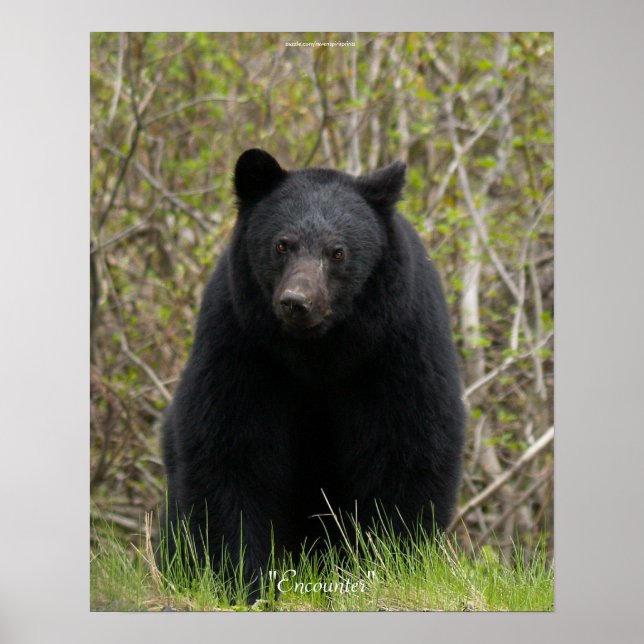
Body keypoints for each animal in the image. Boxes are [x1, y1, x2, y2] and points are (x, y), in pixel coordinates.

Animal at [161, 149, 465, 599]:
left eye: (337, 252)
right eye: (281, 244)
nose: (296, 302)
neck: (318, 353)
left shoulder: (400, 345)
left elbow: (409, 445)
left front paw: (389, 565)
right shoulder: (240, 343)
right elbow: (230, 447)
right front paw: (246, 580)